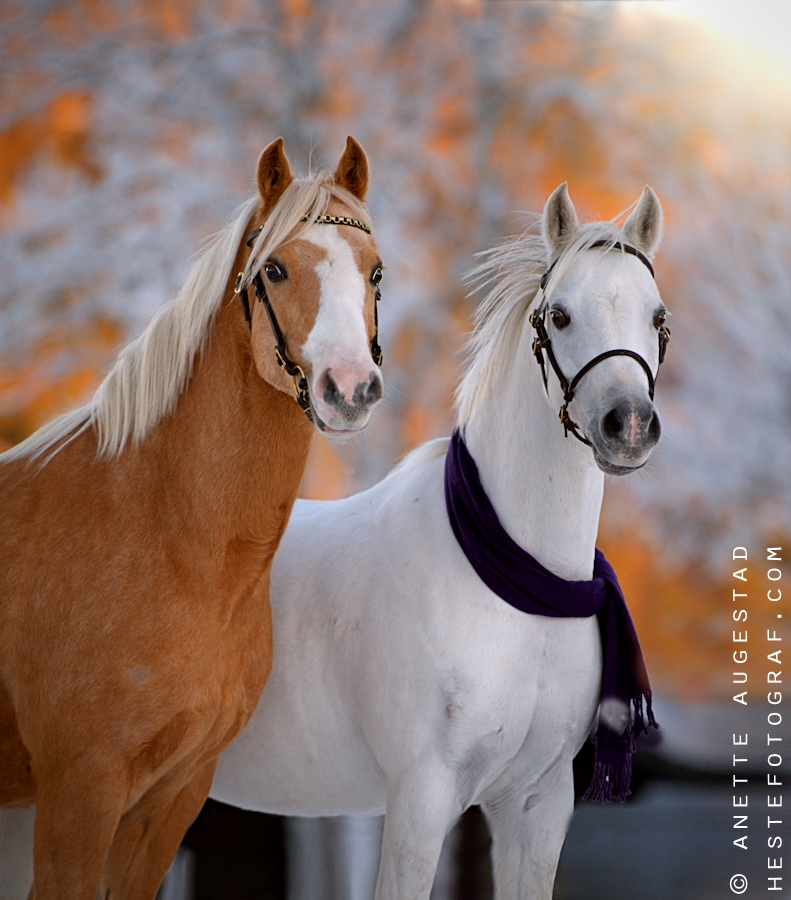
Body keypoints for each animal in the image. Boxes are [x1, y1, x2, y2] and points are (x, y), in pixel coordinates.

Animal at [208, 183, 668, 899]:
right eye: (560, 316)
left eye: (656, 316)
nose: (630, 425)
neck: (519, 594)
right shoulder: (420, 801)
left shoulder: (537, 807)